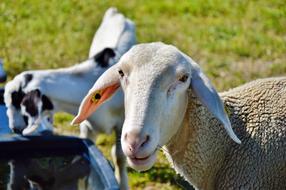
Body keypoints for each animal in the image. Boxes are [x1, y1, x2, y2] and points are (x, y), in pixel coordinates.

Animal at [3, 7, 135, 189]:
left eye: (17, 103)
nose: (14, 129)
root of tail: (115, 13)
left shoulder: (121, 123)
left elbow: (119, 156)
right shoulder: (86, 126)